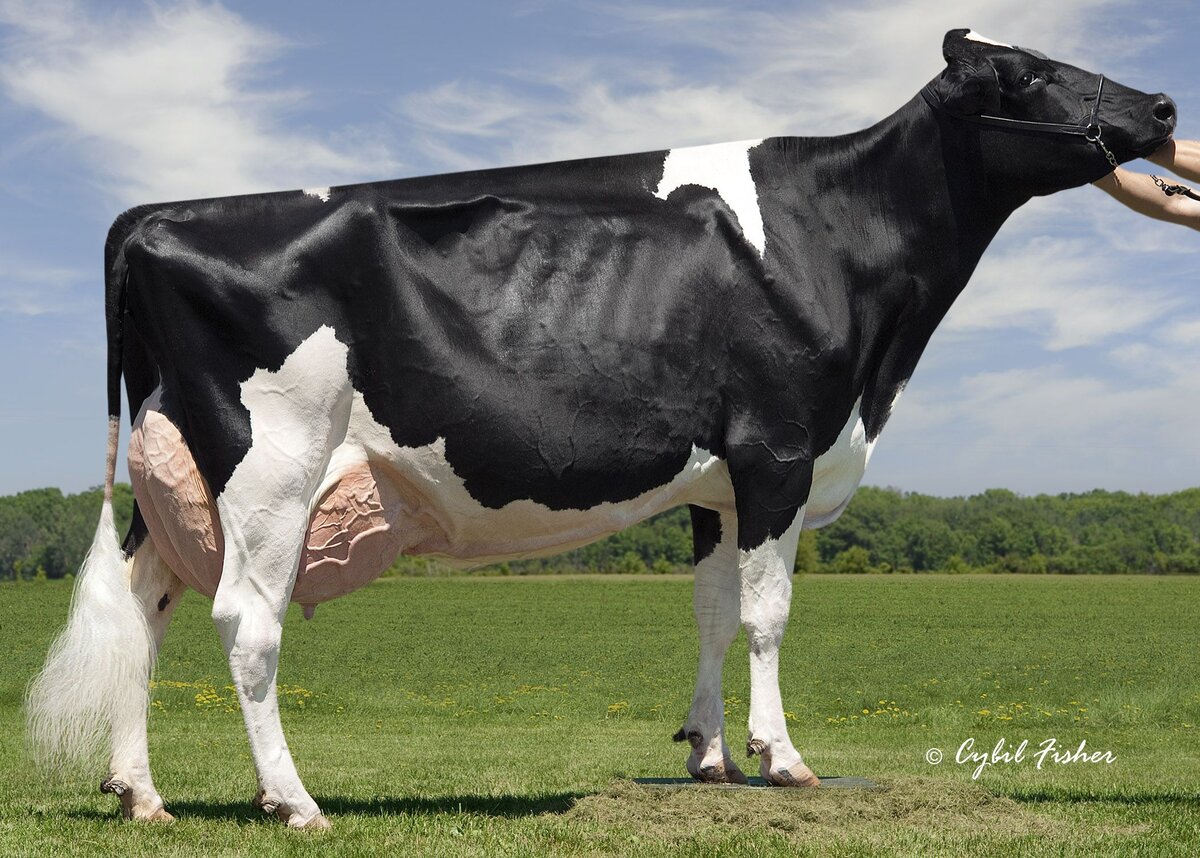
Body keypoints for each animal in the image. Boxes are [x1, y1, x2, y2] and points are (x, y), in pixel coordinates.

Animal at [27, 29, 1175, 828]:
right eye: (1030, 71)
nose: (1165, 103)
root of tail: (152, 217)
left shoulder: (719, 482)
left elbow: (713, 613)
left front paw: (709, 756)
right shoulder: (779, 450)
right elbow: (768, 617)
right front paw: (783, 759)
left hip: (178, 473)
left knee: (146, 610)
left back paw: (140, 794)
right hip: (272, 462)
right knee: (245, 622)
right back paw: (294, 801)